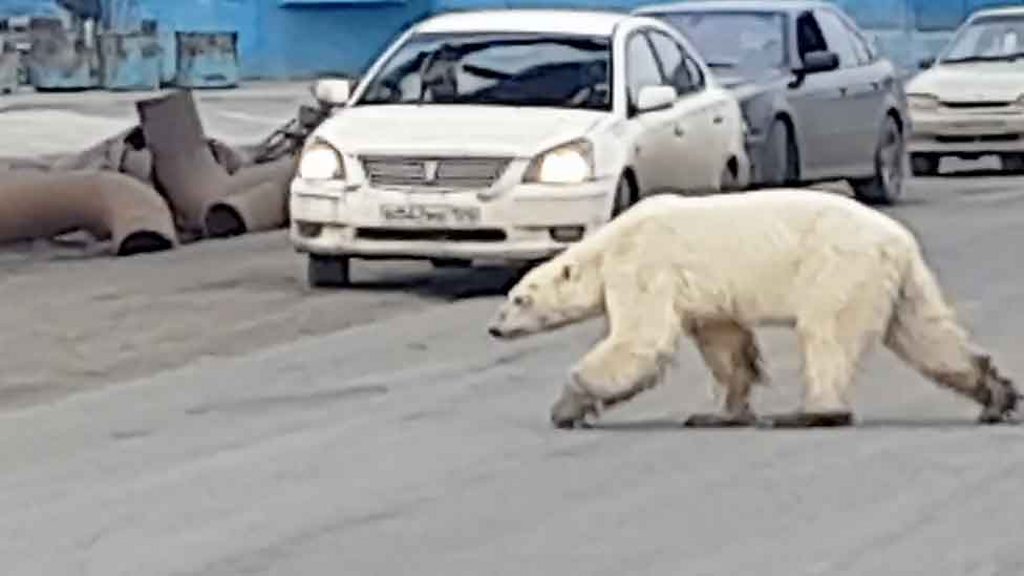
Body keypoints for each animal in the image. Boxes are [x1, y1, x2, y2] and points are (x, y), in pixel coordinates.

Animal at [487, 188, 1015, 426]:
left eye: (519, 299)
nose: (494, 328)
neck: (609, 244)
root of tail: (898, 240)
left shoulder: (644, 266)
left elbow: (639, 339)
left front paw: (567, 406)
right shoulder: (707, 295)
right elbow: (725, 345)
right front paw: (720, 413)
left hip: (839, 267)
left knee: (826, 334)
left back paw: (813, 413)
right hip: (900, 281)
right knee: (927, 333)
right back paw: (996, 395)